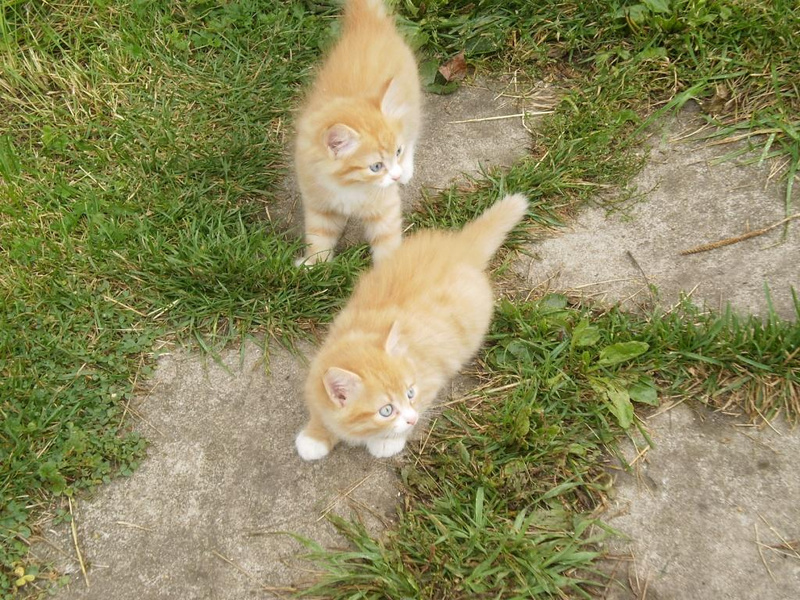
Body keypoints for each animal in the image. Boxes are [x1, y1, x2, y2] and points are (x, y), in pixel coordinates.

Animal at [294, 0, 421, 265]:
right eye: (376, 166)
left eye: (396, 152)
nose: (394, 176)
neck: (348, 186)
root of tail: (367, 23)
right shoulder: (318, 202)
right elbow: (319, 236)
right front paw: (313, 265)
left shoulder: (385, 208)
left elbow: (387, 240)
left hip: (412, 105)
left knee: (413, 133)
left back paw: (407, 170)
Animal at [295, 193, 528, 460]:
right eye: (386, 410)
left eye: (410, 394)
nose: (412, 419)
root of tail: (459, 248)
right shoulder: (316, 377)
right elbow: (320, 411)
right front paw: (315, 436)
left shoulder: (429, 379)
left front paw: (387, 441)